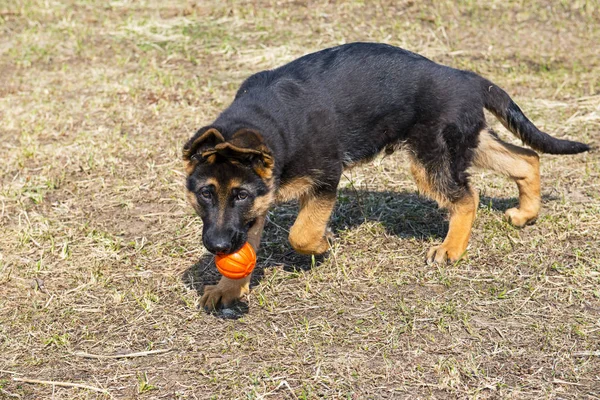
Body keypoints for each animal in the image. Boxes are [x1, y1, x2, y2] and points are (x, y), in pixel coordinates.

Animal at [182, 43, 584, 310]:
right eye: (205, 194)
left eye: (239, 195)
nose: (217, 246)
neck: (265, 121)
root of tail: (469, 79)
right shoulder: (259, 203)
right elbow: (247, 247)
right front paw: (229, 290)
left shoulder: (325, 177)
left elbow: (301, 234)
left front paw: (323, 244)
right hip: (465, 142)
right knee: (527, 158)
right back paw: (526, 213)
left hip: (432, 158)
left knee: (468, 197)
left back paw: (451, 249)